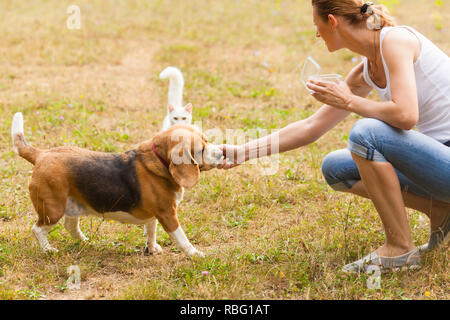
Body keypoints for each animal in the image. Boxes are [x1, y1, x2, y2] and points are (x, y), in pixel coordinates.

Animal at [9, 112, 222, 258]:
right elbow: (181, 239)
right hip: (52, 209)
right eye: (200, 149)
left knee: (70, 226)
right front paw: (196, 255)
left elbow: (150, 231)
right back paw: (47, 249)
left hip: (71, 205)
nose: (221, 153)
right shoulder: (168, 214)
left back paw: (86, 242)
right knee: (37, 229)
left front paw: (152, 248)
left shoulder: (155, 214)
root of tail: (42, 155)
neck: (158, 161)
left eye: (207, 140)